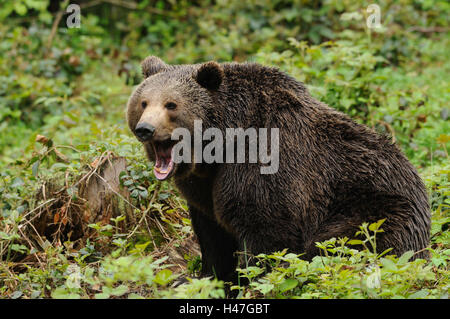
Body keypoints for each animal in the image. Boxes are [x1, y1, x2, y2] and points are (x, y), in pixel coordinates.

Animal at [126, 56, 432, 284]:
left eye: (171, 104)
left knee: (341, 243)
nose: (145, 128)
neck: (218, 148)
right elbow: (212, 233)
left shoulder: (263, 163)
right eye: (143, 102)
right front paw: (203, 278)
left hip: (373, 208)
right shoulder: (204, 189)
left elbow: (268, 230)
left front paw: (253, 280)